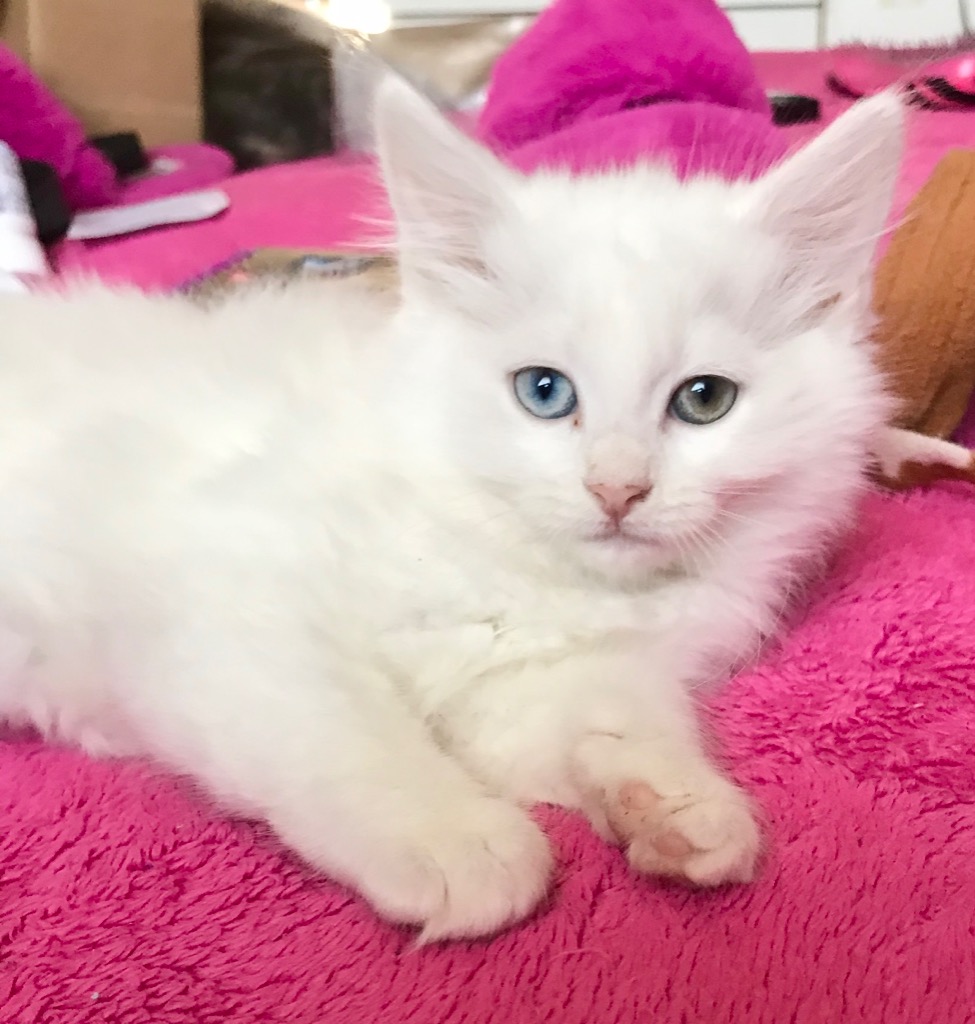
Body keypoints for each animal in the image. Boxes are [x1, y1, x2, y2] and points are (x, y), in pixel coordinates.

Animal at [0, 81, 901, 941]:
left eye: (703, 400)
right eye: (544, 392)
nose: (617, 489)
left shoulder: (538, 676)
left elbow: (611, 725)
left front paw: (679, 805)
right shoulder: (231, 598)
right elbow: (342, 731)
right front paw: (454, 838)